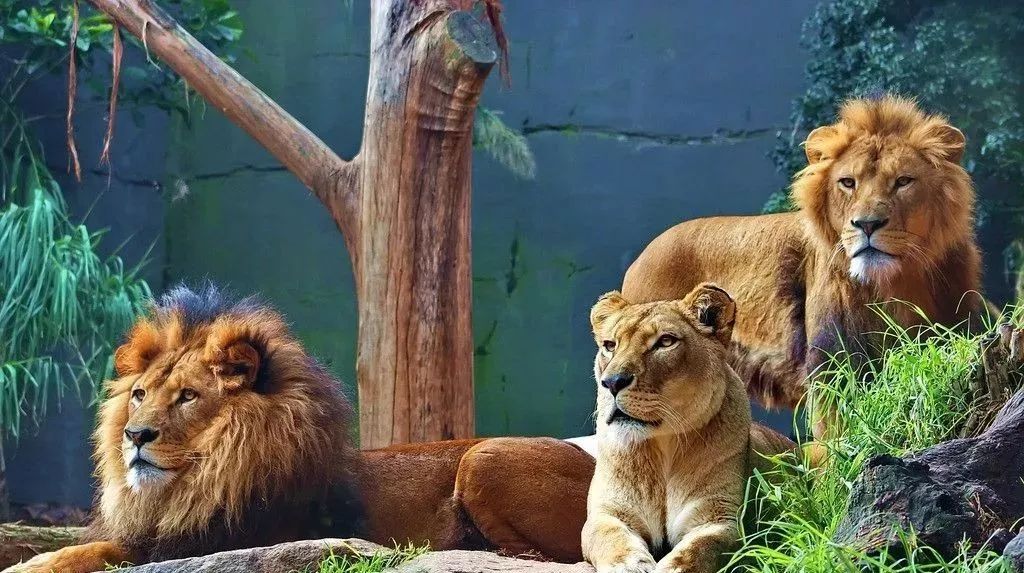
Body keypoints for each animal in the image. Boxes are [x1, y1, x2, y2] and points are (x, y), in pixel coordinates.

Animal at [8, 284, 598, 568]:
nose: (135, 437)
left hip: (483, 455)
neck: (189, 485)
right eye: (139, 395)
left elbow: (100, 553)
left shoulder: (225, 540)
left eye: (188, 397)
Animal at [581, 282, 794, 573]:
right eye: (610, 346)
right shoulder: (608, 512)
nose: (612, 382)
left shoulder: (719, 519)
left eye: (665, 342)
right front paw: (629, 565)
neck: (661, 445)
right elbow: (609, 536)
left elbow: (699, 549)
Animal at [618, 96, 987, 439]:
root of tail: (639, 259)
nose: (867, 224)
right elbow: (837, 437)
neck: (894, 284)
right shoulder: (832, 363)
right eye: (848, 182)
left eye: (903, 181)